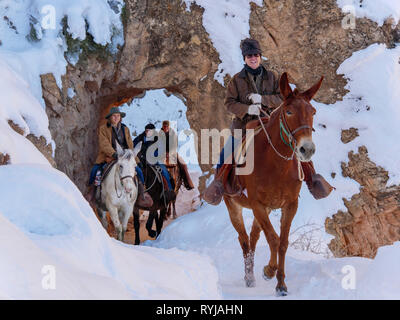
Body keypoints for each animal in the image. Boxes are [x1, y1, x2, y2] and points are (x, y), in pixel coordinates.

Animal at [223, 72, 324, 296]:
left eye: (313, 112)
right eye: (288, 111)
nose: (307, 149)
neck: (276, 165)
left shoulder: (290, 205)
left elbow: (283, 243)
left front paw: (280, 283)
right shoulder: (257, 204)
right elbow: (273, 239)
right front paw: (270, 270)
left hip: (266, 209)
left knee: (253, 237)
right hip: (234, 206)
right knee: (244, 240)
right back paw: (249, 276)